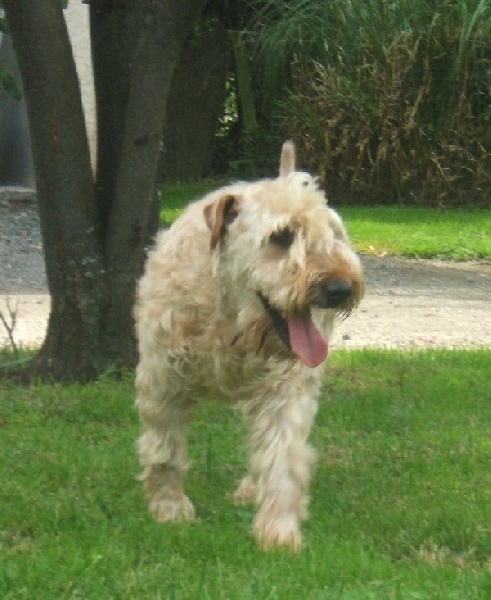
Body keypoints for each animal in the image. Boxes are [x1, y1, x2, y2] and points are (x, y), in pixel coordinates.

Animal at [135, 142, 366, 552]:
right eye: (282, 236)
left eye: (333, 233)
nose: (339, 288)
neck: (232, 319)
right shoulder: (162, 380)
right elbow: (164, 448)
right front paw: (169, 506)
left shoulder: (285, 388)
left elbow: (282, 459)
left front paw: (278, 531)